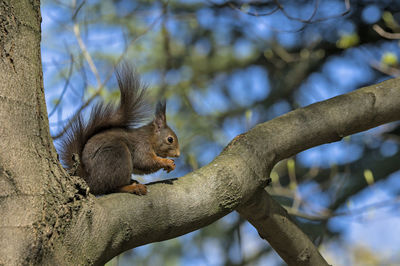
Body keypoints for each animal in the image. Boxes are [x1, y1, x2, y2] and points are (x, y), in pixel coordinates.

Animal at [59, 64, 180, 195]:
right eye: (170, 139)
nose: (178, 154)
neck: (149, 137)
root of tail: (89, 179)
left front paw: (170, 165)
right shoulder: (141, 145)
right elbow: (144, 162)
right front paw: (166, 162)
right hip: (117, 155)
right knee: (111, 187)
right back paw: (132, 187)